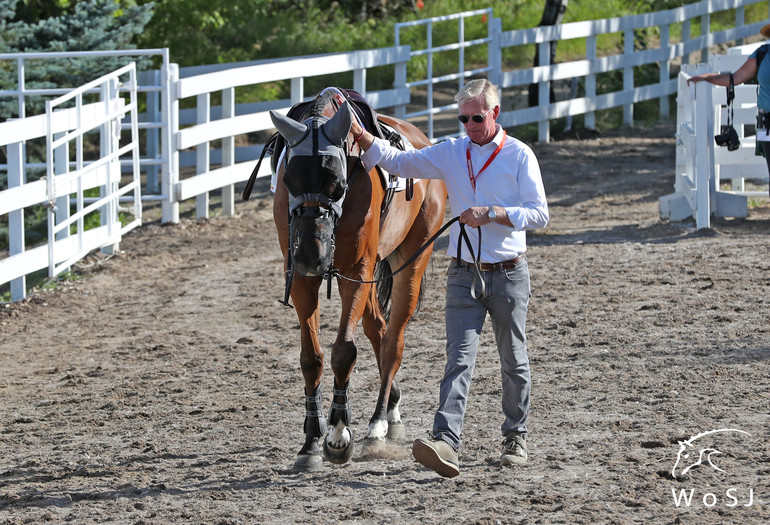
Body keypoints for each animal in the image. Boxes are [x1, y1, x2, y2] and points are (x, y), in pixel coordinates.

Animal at [270, 88, 448, 468]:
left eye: (336, 181)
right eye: (289, 179)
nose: (311, 256)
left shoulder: (355, 272)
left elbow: (344, 351)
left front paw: (338, 435)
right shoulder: (302, 277)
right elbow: (312, 358)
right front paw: (311, 439)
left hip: (412, 260)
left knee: (393, 340)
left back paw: (379, 422)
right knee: (376, 327)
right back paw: (391, 404)